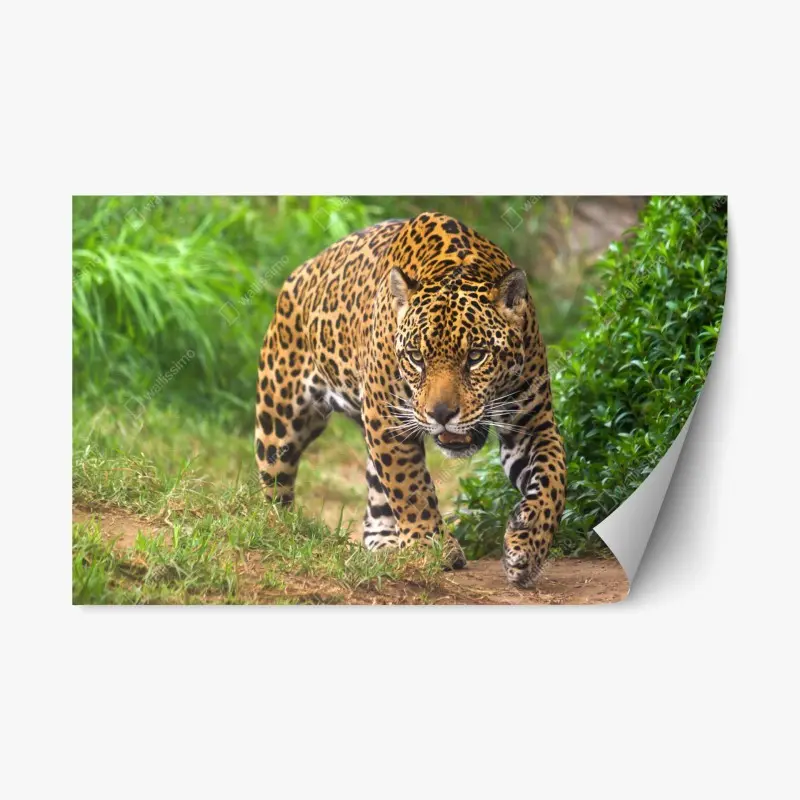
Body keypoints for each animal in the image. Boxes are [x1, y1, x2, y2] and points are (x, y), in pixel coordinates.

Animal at [255, 211, 566, 587]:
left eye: (476, 356)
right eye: (417, 358)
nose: (442, 414)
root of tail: (301, 271)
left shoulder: (532, 425)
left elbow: (553, 479)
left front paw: (528, 543)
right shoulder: (387, 418)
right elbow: (409, 485)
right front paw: (430, 545)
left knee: (376, 493)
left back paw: (386, 544)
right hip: (281, 418)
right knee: (275, 484)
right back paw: (279, 533)